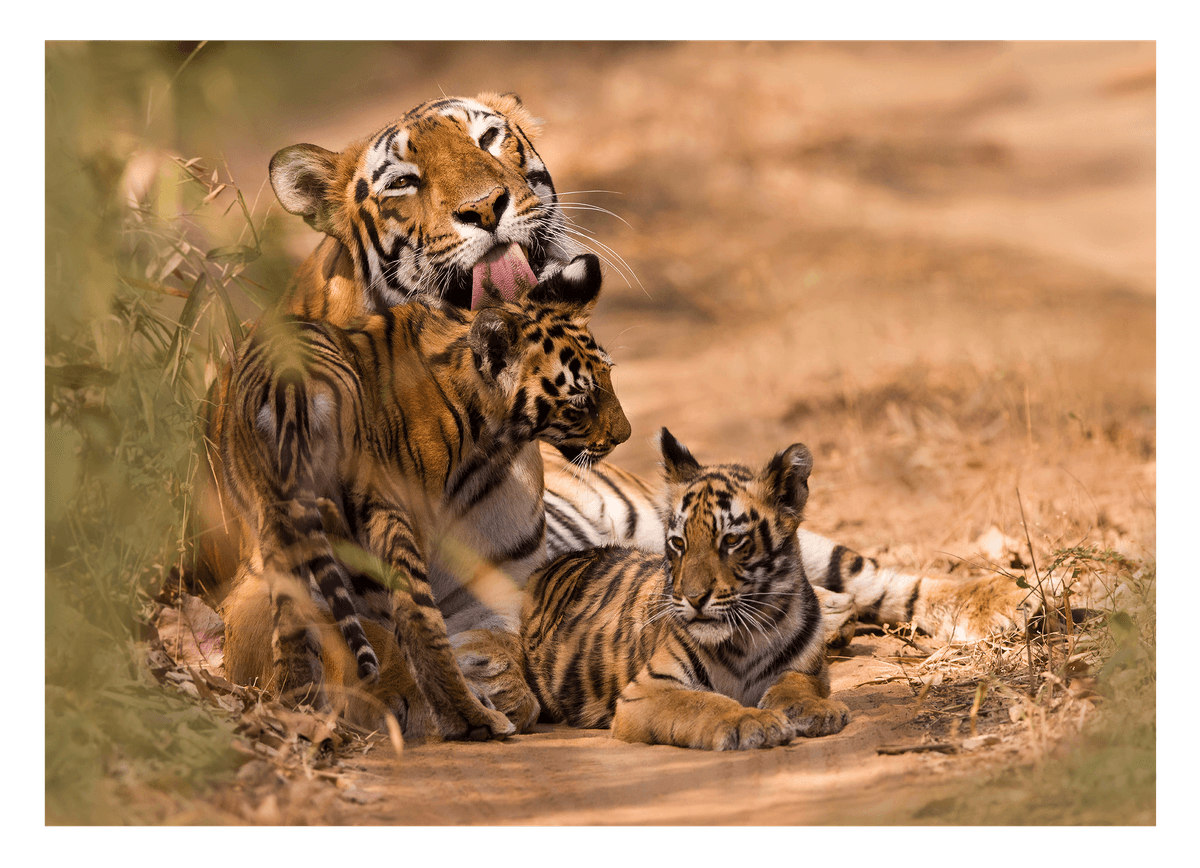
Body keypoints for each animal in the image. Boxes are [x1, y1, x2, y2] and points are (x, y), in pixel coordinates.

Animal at [215, 251, 629, 740]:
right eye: (581, 400)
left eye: (610, 376)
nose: (625, 434)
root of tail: (291, 389)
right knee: (413, 624)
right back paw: (470, 719)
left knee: (295, 623)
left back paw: (300, 707)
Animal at [522, 428, 851, 750]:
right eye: (679, 543)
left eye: (731, 541)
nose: (694, 599)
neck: (750, 636)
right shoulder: (648, 690)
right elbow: (705, 704)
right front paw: (752, 721)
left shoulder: (809, 669)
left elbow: (798, 685)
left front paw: (819, 710)